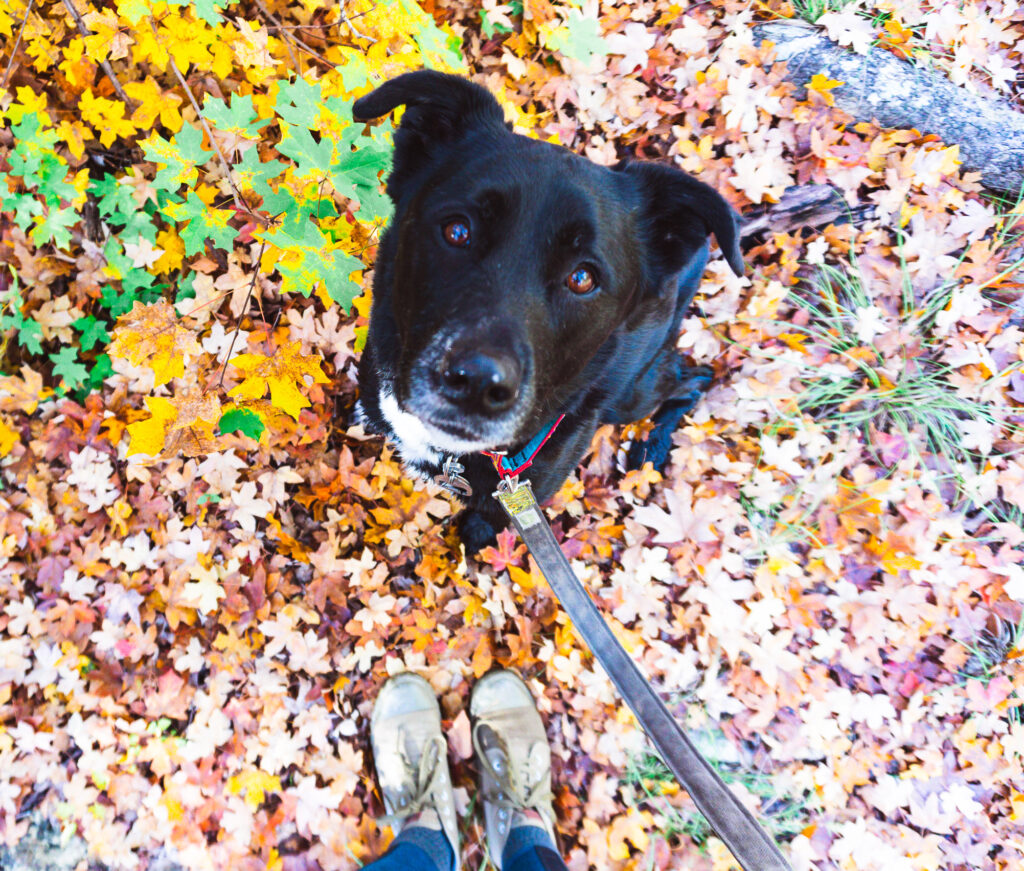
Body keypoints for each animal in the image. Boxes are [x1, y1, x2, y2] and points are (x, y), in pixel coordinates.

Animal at [352, 74, 737, 552]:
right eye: (457, 230)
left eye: (583, 277)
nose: (478, 383)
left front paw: (479, 533)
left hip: (632, 394)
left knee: (695, 377)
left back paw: (653, 444)